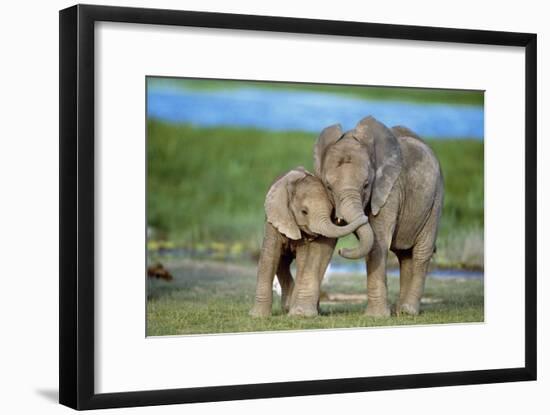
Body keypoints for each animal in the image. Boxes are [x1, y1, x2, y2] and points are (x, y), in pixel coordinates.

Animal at [252, 167, 368, 316]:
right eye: (304, 212)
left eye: (331, 211)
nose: (341, 250)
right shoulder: (275, 219)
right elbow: (270, 256)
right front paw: (258, 316)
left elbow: (304, 260)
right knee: (281, 262)